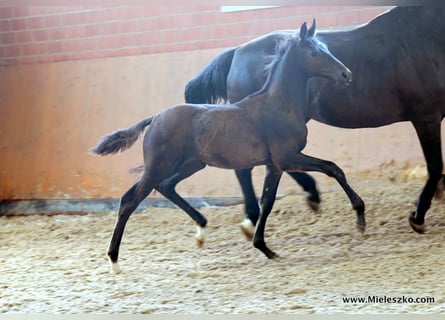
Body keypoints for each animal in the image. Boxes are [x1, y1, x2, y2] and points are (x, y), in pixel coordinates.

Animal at [93, 21, 360, 272]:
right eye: (314, 52)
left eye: (326, 48)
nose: (346, 74)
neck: (278, 104)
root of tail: (156, 117)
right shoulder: (287, 158)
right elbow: (333, 168)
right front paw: (360, 217)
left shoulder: (274, 165)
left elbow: (268, 201)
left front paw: (264, 247)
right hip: (159, 166)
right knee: (130, 200)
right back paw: (114, 261)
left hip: (191, 164)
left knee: (166, 186)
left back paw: (201, 230)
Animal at [185, 6, 445, 232]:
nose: (346, 74)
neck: (427, 40)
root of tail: (236, 51)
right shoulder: (426, 117)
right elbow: (435, 167)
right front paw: (418, 216)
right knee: (247, 167)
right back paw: (253, 217)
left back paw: (310, 194)